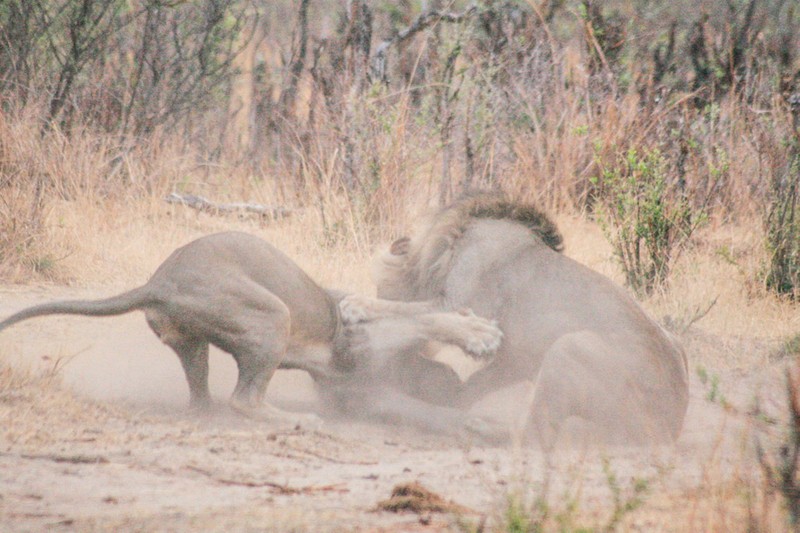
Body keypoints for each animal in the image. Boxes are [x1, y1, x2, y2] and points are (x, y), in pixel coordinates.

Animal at [0, 232, 500, 432]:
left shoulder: (367, 389)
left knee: (203, 399)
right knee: (243, 399)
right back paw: (301, 421)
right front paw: (478, 331)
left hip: (193, 345)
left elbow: (424, 405)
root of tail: (156, 283)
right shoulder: (353, 334)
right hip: (272, 314)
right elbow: (418, 315)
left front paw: (477, 423)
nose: (454, 386)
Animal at [340, 193, 692, 446]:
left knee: (535, 435)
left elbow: (415, 311)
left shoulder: (461, 303)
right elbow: (469, 387)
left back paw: (481, 428)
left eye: (380, 289)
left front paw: (356, 304)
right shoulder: (512, 359)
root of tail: (671, 426)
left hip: (572, 345)